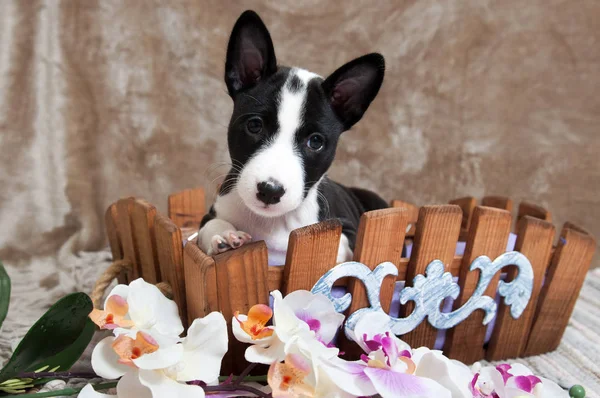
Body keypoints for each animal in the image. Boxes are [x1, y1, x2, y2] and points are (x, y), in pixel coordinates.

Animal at [199, 10, 390, 264]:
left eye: (316, 142)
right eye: (254, 125)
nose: (270, 191)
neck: (271, 222)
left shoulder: (349, 230)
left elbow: (339, 245)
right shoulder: (210, 214)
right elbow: (210, 225)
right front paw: (225, 235)